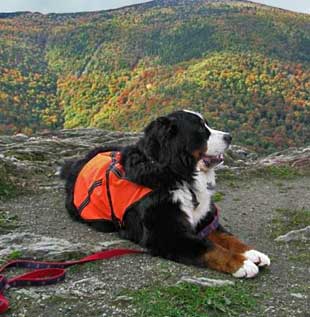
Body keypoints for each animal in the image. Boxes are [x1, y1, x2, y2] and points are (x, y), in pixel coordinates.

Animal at [61, 110, 270, 278]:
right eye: (201, 130)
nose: (230, 136)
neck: (179, 176)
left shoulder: (204, 220)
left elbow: (229, 238)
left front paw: (252, 253)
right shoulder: (167, 235)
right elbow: (210, 247)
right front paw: (241, 264)